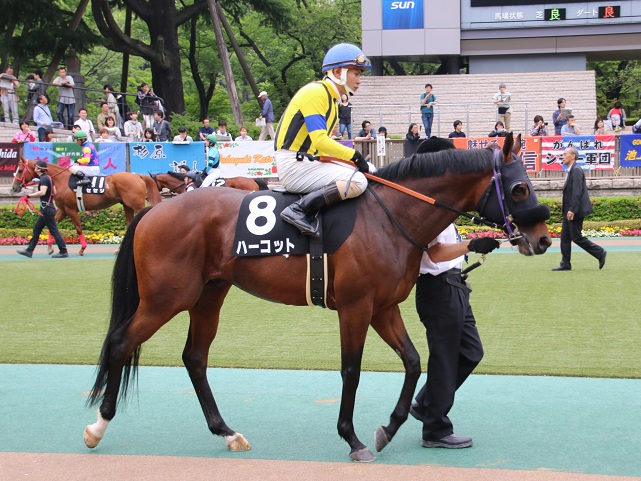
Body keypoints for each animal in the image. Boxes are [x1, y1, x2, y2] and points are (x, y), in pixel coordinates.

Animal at [12, 158, 162, 255]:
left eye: (20, 170)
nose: (14, 188)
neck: (60, 180)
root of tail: (137, 176)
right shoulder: (63, 209)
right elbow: (52, 226)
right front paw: (50, 248)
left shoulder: (71, 209)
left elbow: (78, 228)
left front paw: (82, 249)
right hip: (127, 206)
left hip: (136, 205)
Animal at [84, 134, 552, 462]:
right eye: (520, 190)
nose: (543, 239)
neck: (389, 216)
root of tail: (154, 209)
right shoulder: (356, 308)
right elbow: (351, 371)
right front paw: (353, 438)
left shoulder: (383, 308)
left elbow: (414, 362)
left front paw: (389, 428)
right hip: (166, 298)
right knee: (121, 343)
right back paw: (97, 426)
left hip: (208, 296)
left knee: (194, 357)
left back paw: (227, 432)